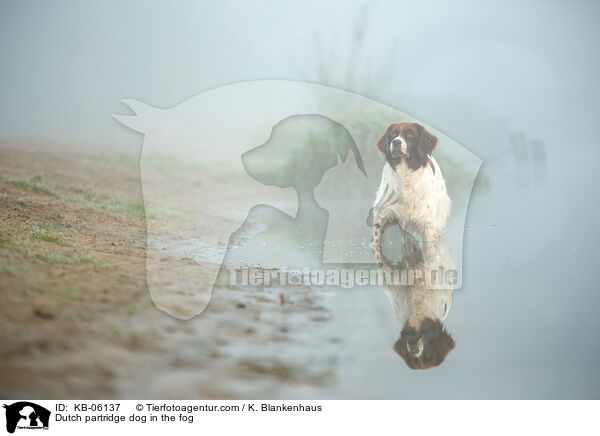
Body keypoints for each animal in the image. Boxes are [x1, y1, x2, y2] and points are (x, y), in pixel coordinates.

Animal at [370, 120, 450, 266]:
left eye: (410, 135)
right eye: (393, 134)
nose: (396, 142)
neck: (404, 176)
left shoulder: (428, 226)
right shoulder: (382, 217)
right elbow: (375, 242)